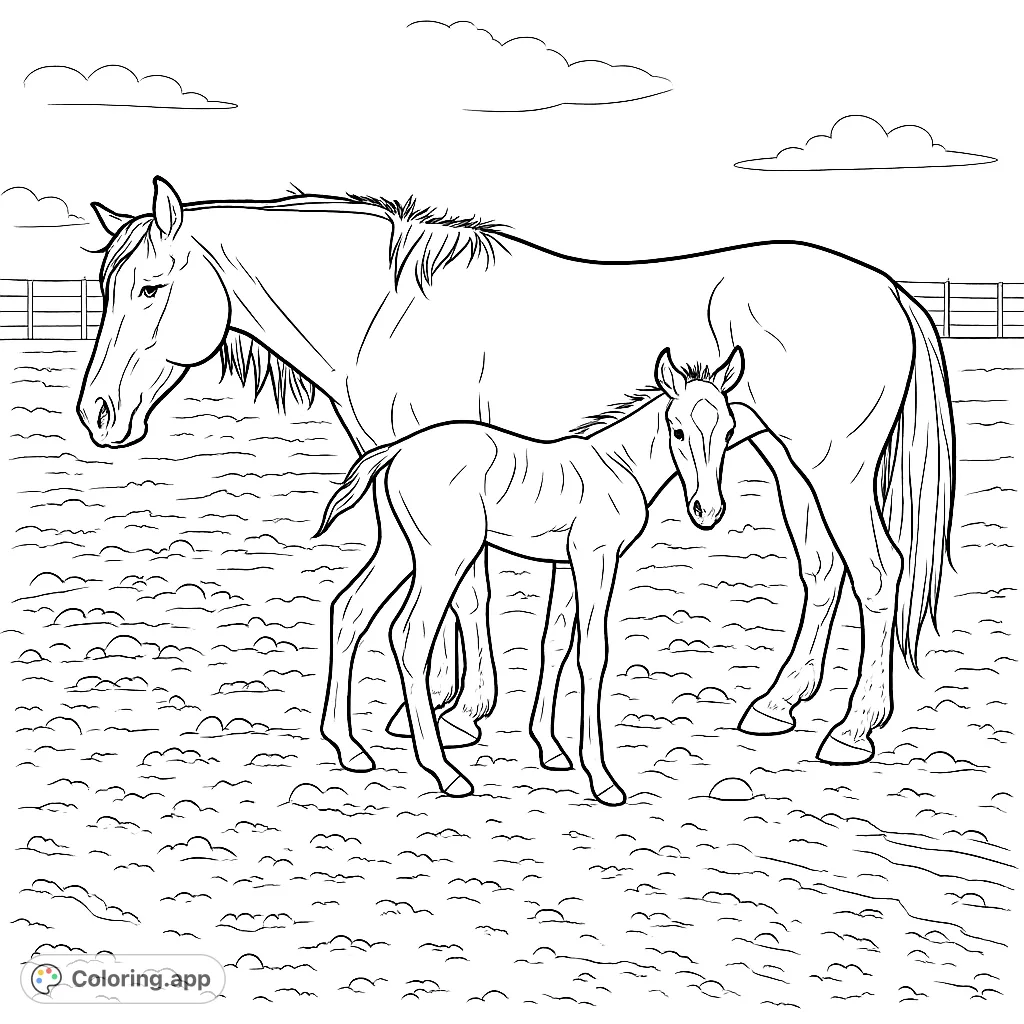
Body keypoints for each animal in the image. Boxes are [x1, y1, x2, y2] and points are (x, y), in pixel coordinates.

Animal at [314, 347, 744, 803]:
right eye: (678, 431)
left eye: (728, 429)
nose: (707, 511)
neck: (618, 466)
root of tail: (396, 450)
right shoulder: (596, 559)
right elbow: (592, 653)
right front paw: (602, 779)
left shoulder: (566, 564)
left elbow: (554, 643)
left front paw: (550, 749)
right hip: (444, 558)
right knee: (411, 634)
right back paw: (445, 772)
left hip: (399, 550)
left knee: (349, 610)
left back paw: (348, 748)